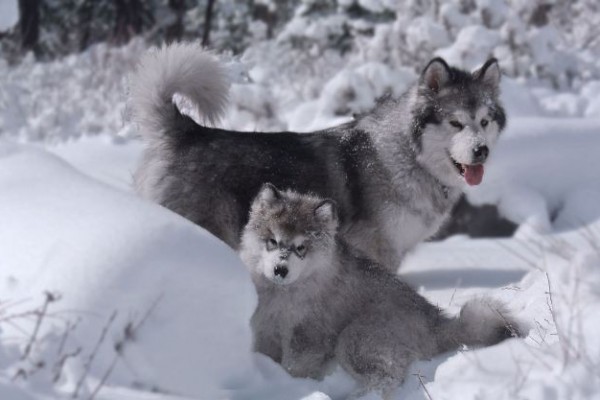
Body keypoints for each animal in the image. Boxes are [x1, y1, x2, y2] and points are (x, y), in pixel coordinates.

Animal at [132, 42, 506, 270]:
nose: (481, 151)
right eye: (456, 123)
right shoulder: (378, 251)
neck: (407, 158)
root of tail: (188, 130)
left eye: (484, 121)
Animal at [239, 185, 520, 396]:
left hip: (357, 338)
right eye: (272, 241)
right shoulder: (266, 329)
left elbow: (293, 368)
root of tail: (434, 320)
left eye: (301, 248)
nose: (280, 269)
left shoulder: (307, 335)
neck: (283, 294)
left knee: (386, 377)